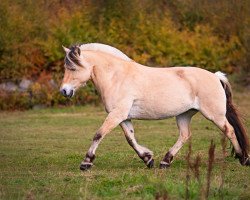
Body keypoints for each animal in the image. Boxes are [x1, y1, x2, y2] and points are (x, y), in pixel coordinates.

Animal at [59, 42, 249, 170]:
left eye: (73, 68)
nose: (64, 91)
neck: (117, 76)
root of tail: (216, 76)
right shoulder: (123, 117)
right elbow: (130, 139)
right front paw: (148, 159)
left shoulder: (117, 114)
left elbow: (99, 134)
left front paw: (86, 162)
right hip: (184, 114)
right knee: (185, 135)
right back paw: (165, 161)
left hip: (214, 115)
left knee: (230, 130)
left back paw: (243, 158)